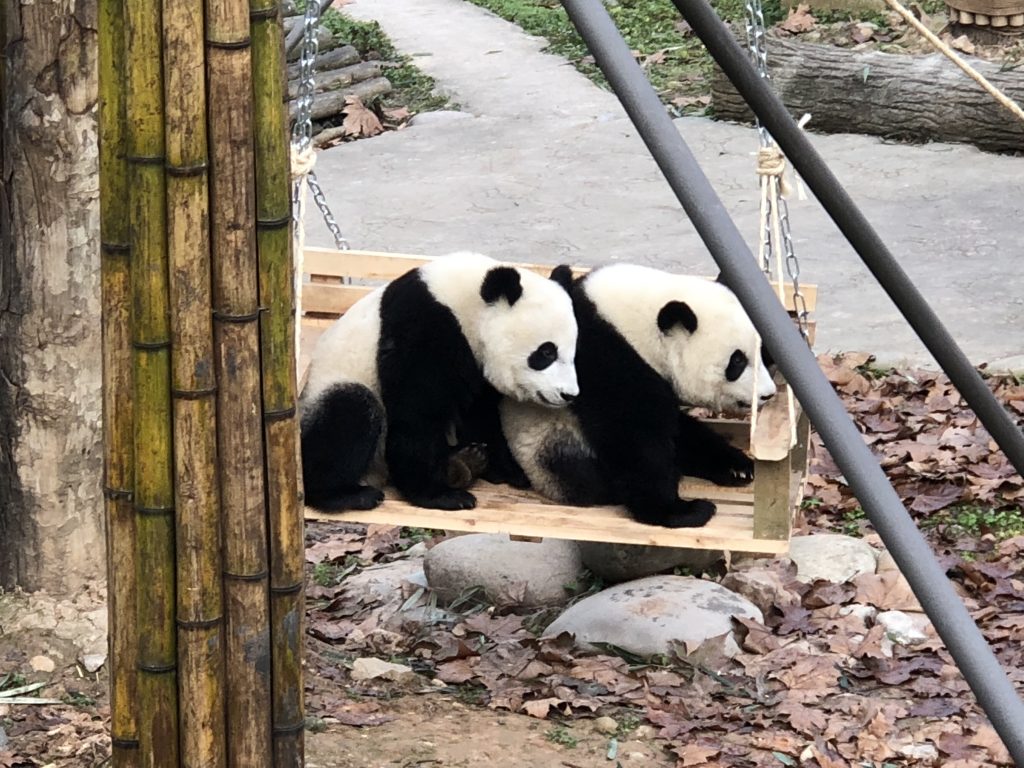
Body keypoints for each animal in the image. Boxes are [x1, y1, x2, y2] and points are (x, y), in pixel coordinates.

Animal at [299, 256, 581, 514]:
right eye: (546, 352)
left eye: (572, 352)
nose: (568, 394)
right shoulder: (422, 326)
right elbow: (417, 411)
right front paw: (439, 495)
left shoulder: (474, 362)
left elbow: (481, 412)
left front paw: (508, 469)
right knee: (350, 410)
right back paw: (346, 494)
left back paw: (466, 461)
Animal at [497, 264, 774, 528]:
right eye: (737, 361)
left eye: (762, 354)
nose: (767, 394)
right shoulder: (609, 365)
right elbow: (635, 440)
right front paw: (679, 511)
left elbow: (678, 431)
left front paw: (737, 468)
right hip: (547, 442)